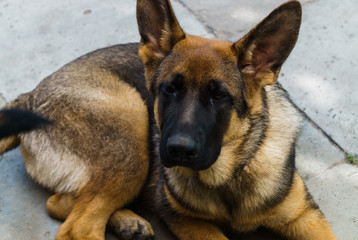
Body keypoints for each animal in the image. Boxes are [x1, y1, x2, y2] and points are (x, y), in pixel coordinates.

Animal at [0, 0, 336, 239]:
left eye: (219, 96)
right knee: (77, 225)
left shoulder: (306, 217)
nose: (178, 150)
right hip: (133, 128)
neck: (230, 174)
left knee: (61, 201)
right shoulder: (184, 218)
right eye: (168, 90)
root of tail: (30, 95)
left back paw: (127, 221)